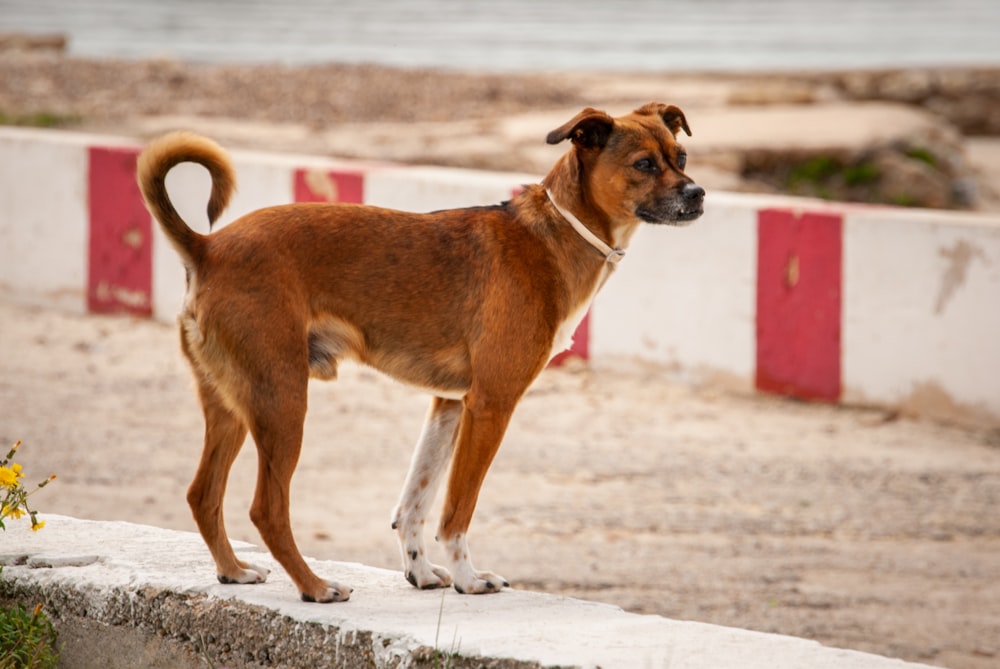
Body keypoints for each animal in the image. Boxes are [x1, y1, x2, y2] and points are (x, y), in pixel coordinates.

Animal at [137, 103, 708, 600]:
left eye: (680, 158)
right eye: (643, 164)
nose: (699, 193)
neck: (554, 233)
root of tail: (207, 249)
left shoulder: (449, 405)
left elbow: (415, 500)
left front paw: (421, 572)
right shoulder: (490, 406)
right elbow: (458, 508)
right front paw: (468, 579)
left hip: (232, 405)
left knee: (202, 494)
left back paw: (232, 571)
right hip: (281, 401)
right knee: (266, 509)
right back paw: (314, 587)